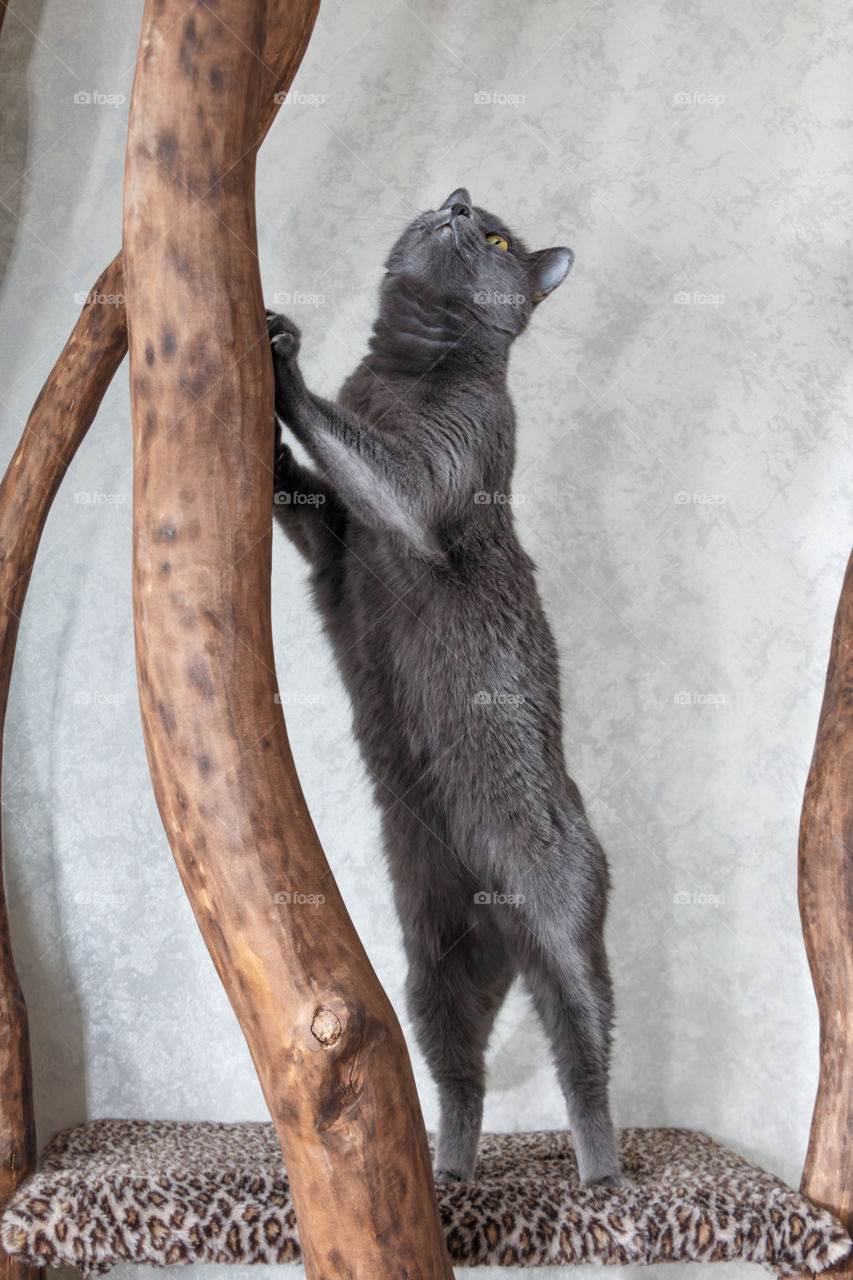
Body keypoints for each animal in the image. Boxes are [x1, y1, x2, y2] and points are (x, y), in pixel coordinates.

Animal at [268, 185, 622, 1182]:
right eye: (462, 209)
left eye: (498, 239)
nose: (458, 204)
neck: (401, 369)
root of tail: (497, 920)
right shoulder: (334, 550)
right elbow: (312, 496)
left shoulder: (430, 479)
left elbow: (375, 461)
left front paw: (282, 361)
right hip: (433, 967)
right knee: (458, 1075)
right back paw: (448, 1171)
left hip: (561, 922)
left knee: (584, 1051)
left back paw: (601, 1173)